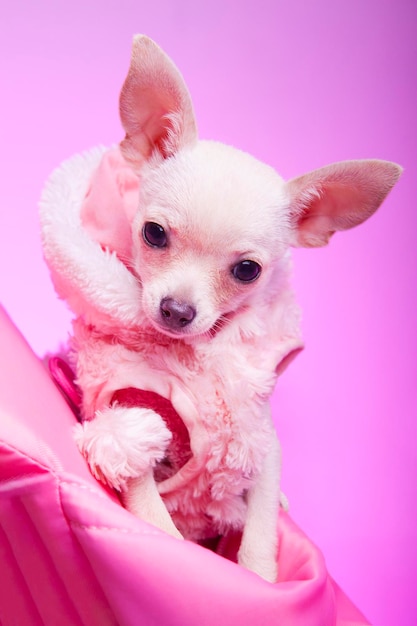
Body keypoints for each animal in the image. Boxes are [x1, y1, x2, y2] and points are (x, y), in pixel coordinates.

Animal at [39, 34, 400, 580]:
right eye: (153, 234)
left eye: (248, 270)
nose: (176, 310)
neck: (199, 358)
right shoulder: (127, 413)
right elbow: (149, 509)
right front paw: (171, 551)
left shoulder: (262, 441)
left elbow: (262, 526)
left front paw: (259, 577)